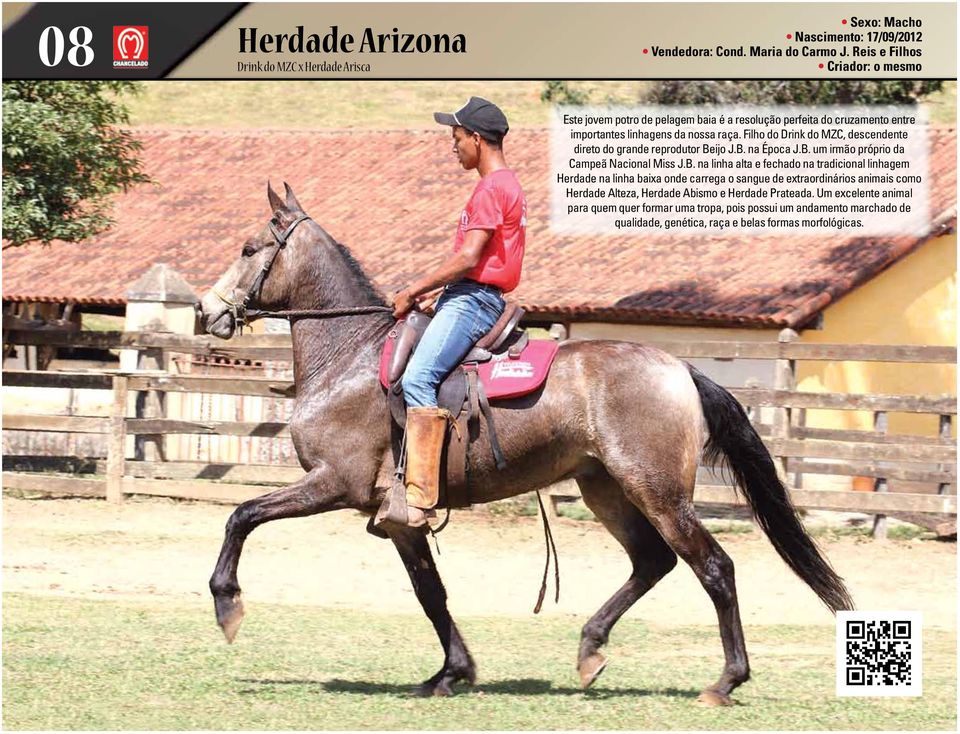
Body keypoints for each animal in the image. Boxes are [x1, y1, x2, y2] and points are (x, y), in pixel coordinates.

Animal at [197, 184, 856, 708]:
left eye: (249, 249)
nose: (207, 311)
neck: (350, 356)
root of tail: (679, 369)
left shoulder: (335, 482)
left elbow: (241, 515)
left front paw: (227, 606)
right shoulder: (397, 515)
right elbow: (430, 593)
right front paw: (451, 673)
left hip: (658, 491)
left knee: (713, 567)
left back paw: (725, 681)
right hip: (605, 489)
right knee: (653, 562)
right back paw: (590, 649)